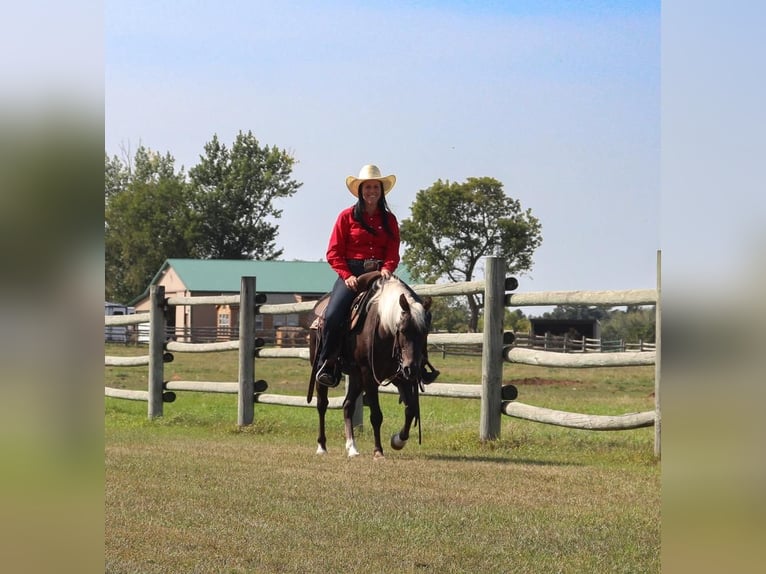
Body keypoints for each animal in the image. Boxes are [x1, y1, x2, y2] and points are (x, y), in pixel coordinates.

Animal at [308, 276, 436, 462]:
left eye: (425, 332)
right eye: (403, 330)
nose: (413, 369)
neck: (384, 328)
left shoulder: (400, 376)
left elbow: (411, 409)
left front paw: (398, 440)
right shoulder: (369, 375)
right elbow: (376, 415)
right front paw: (378, 451)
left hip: (356, 376)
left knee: (347, 405)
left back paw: (352, 447)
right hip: (320, 368)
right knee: (322, 405)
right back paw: (322, 446)